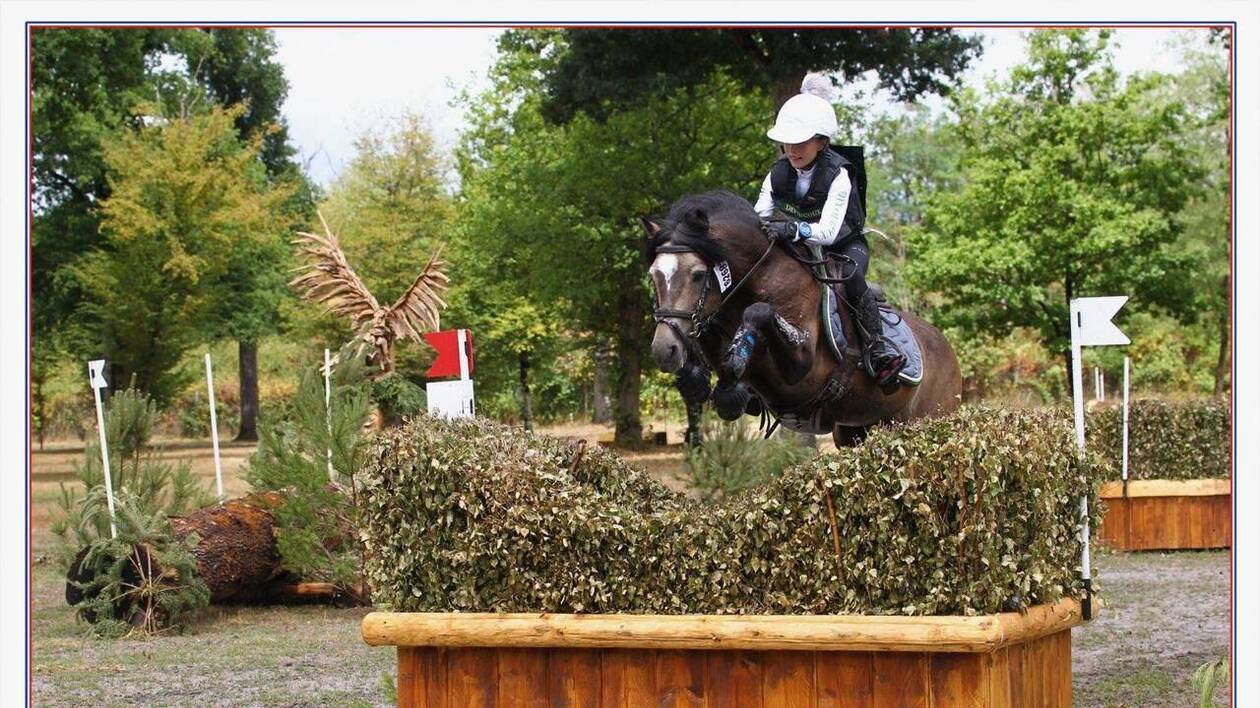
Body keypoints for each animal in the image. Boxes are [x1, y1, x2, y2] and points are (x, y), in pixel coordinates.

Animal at [643, 190, 961, 447]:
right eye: (653, 275)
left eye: (698, 275)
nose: (663, 350)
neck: (762, 275)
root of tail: (948, 349)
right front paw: (698, 377)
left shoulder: (803, 367)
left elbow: (759, 312)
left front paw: (736, 357)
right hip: (858, 430)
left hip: (930, 418)